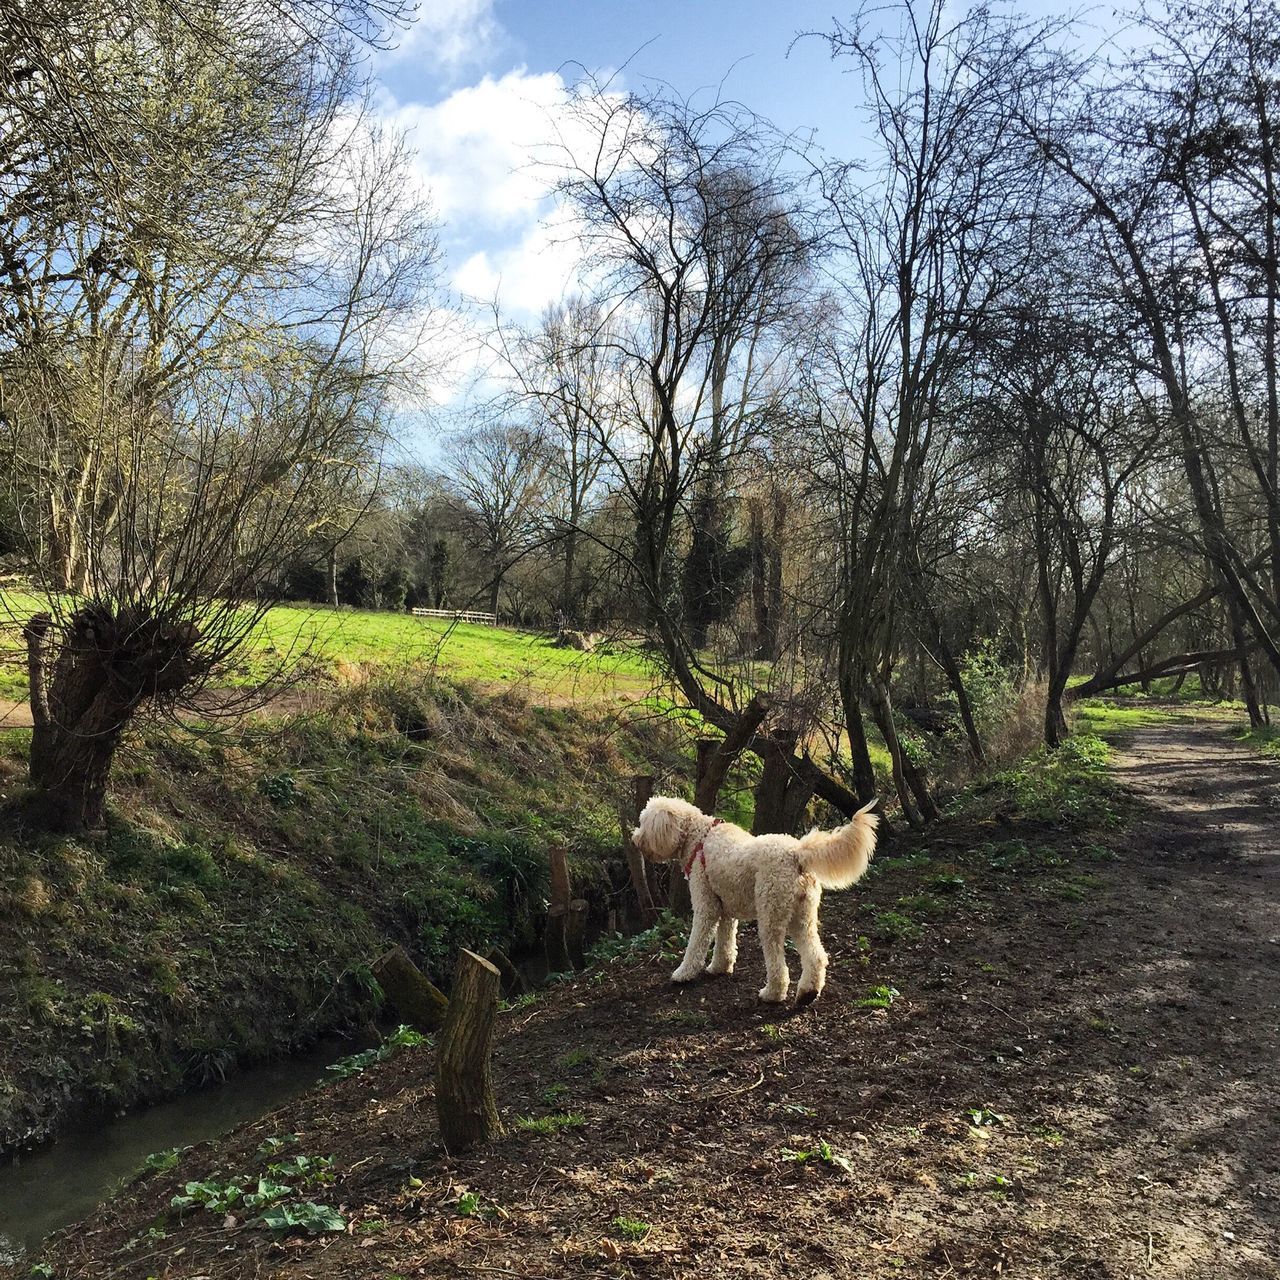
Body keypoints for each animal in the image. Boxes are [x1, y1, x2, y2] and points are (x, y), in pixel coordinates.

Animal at [632, 793, 880, 1003]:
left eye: (644, 822)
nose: (635, 839)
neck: (698, 837)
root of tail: (797, 854)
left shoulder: (706, 907)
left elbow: (696, 944)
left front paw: (683, 974)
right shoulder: (726, 910)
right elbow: (725, 942)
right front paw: (719, 967)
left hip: (771, 915)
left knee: (778, 965)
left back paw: (772, 994)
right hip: (802, 916)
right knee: (816, 956)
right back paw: (807, 993)